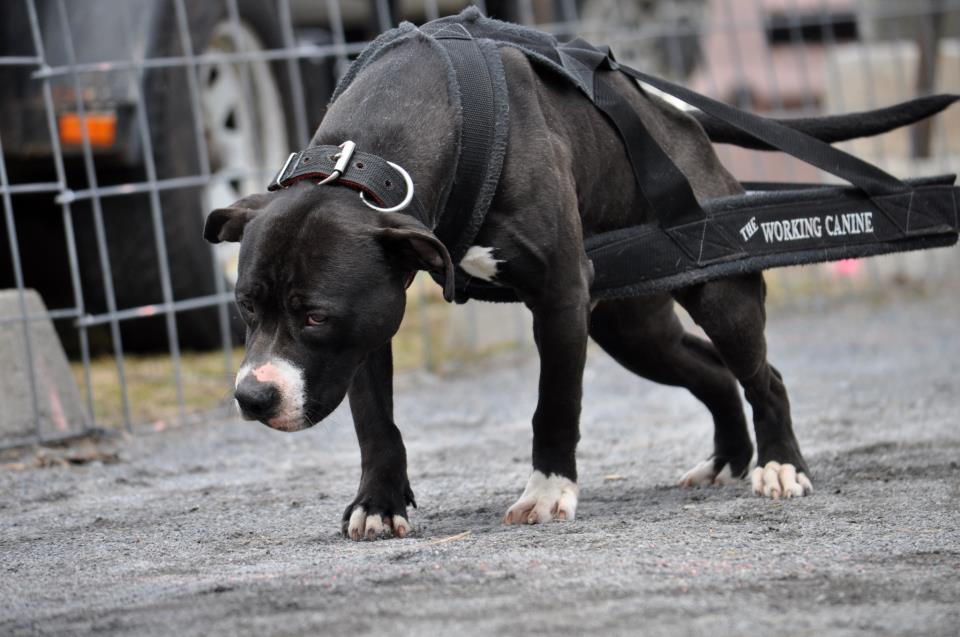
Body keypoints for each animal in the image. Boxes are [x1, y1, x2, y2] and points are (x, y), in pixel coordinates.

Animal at [204, 12, 936, 540]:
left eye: (315, 315)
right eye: (246, 308)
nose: (253, 396)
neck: (367, 162)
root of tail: (683, 118)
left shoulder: (556, 295)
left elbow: (554, 404)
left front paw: (549, 490)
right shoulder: (372, 322)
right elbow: (374, 420)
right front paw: (380, 502)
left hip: (716, 292)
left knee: (763, 375)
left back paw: (779, 465)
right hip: (632, 326)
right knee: (711, 370)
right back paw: (728, 457)